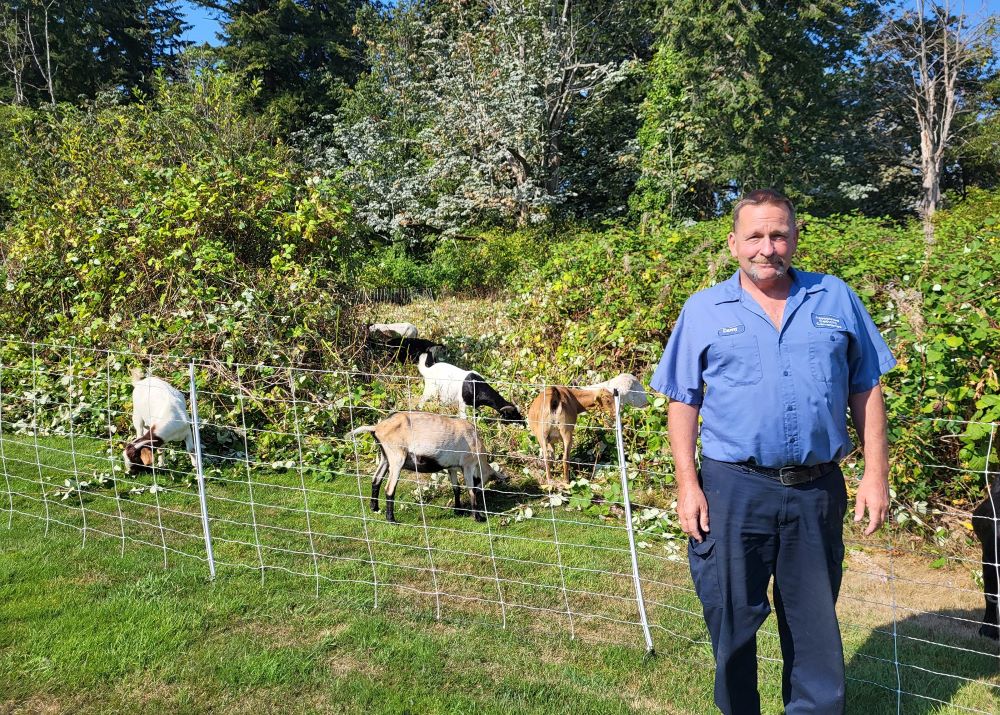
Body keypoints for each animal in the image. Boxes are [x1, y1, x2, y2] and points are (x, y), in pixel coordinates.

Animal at [348, 412, 500, 524]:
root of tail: (377, 427)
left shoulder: (451, 467)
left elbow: (456, 488)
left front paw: (458, 510)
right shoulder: (468, 465)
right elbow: (470, 490)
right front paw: (478, 517)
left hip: (385, 457)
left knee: (376, 479)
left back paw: (374, 508)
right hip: (397, 458)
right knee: (389, 488)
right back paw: (391, 519)